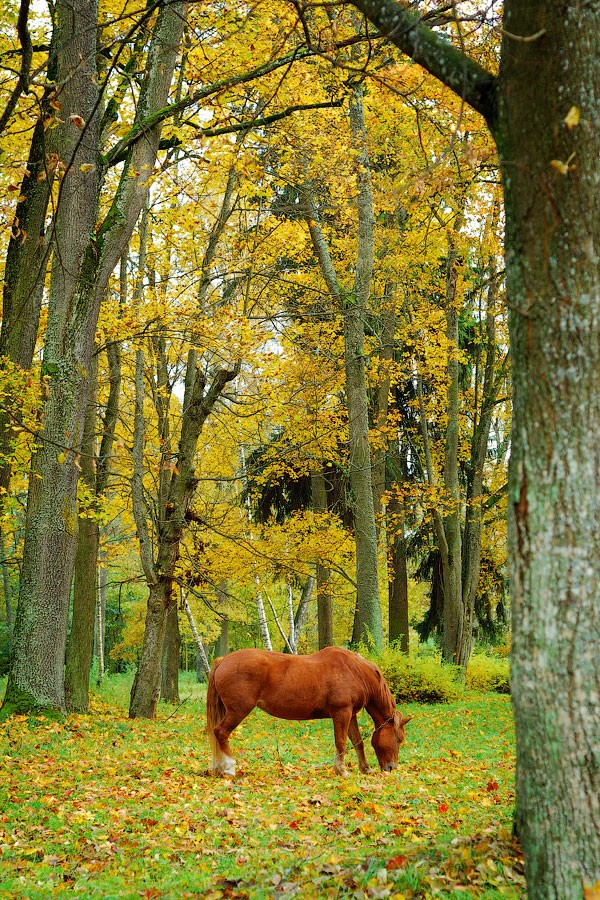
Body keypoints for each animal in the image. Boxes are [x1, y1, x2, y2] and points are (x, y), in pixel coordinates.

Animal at [206, 646, 411, 776]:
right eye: (398, 739)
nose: (391, 768)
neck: (354, 671)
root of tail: (223, 660)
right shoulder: (342, 713)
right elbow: (341, 743)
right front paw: (341, 770)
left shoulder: (351, 714)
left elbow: (357, 742)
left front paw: (365, 768)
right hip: (238, 711)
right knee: (221, 732)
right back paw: (229, 767)